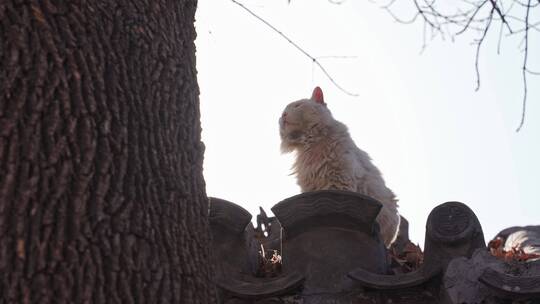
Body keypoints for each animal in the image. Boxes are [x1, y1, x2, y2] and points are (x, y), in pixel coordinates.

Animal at [278, 86, 400, 247]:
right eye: (283, 111)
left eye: (298, 105)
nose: (283, 115)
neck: (310, 144)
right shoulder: (309, 187)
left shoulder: (339, 181)